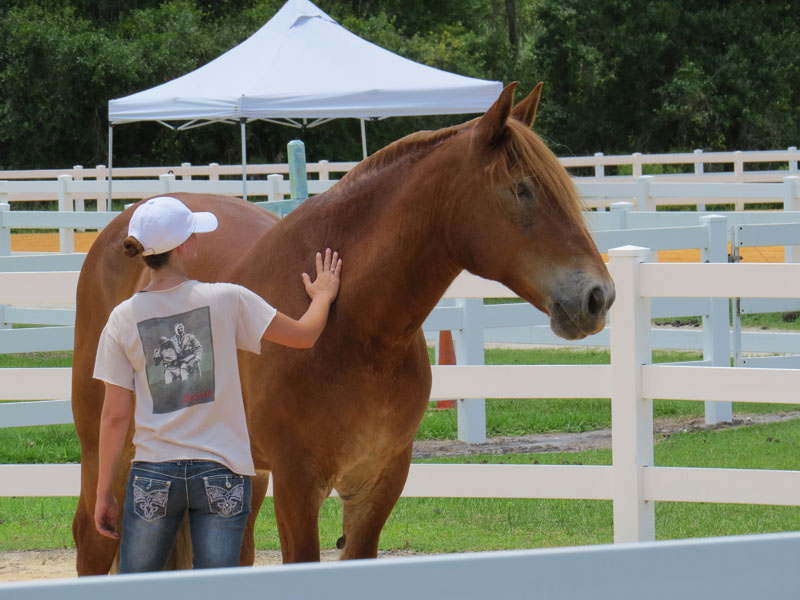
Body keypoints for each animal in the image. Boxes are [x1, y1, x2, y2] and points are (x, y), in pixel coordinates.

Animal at [72, 82, 616, 576]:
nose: (599, 297)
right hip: (109, 452)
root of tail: (121, 230)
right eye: (522, 189)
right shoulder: (297, 484)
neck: (358, 330)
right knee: (93, 539)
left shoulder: (380, 480)